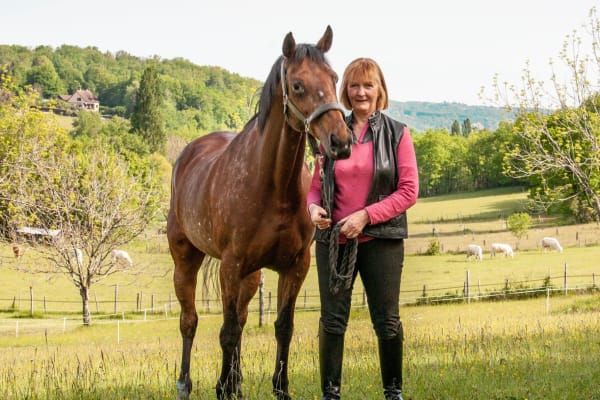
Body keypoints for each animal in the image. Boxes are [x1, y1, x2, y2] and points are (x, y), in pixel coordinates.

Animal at [166, 26, 352, 398]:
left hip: (250, 277)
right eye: (297, 85)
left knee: (241, 317)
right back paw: (186, 384)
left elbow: (282, 327)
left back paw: (237, 383)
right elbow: (226, 332)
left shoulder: (295, 266)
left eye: (334, 77)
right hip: (186, 261)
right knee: (190, 321)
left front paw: (279, 388)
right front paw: (222, 388)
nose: (340, 141)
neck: (273, 186)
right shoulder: (230, 266)